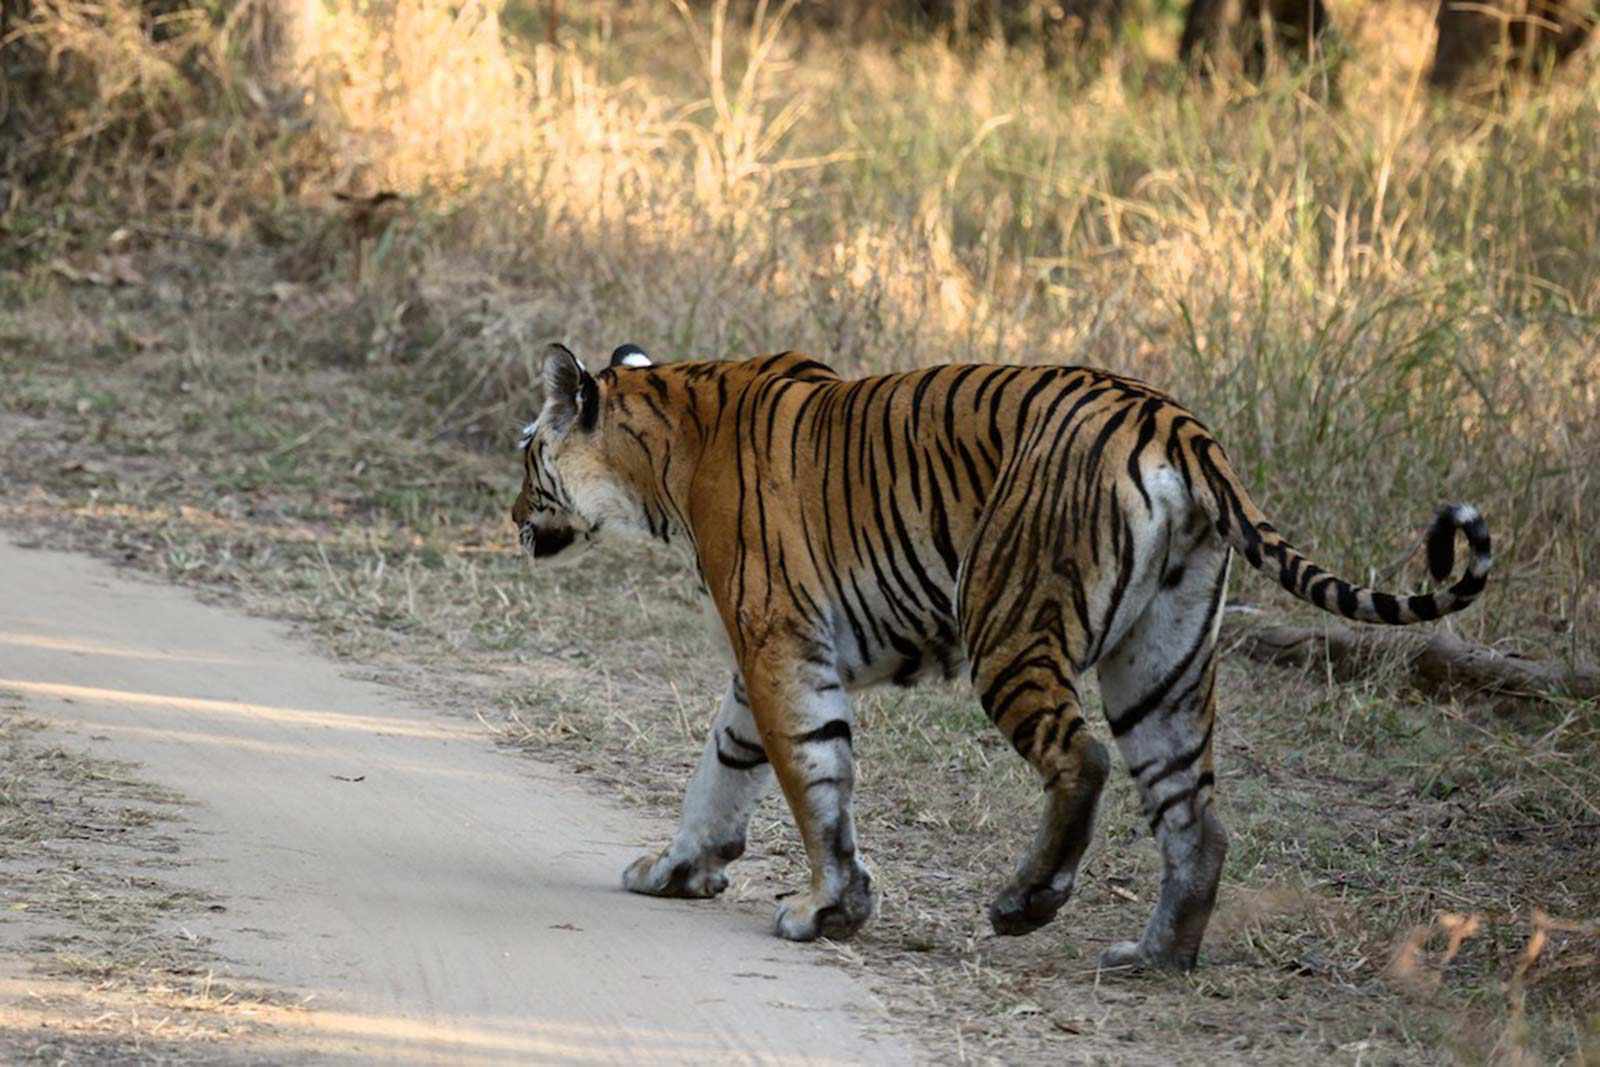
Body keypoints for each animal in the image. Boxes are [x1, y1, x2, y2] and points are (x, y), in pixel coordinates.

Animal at [511, 342, 1491, 971]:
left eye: (527, 457)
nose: (510, 516)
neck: (663, 447)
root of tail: (1173, 420)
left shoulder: (778, 639)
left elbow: (809, 777)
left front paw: (829, 908)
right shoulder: (768, 655)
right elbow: (727, 764)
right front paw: (679, 869)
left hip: (1009, 620)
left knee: (1082, 757)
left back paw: (1027, 902)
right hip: (1161, 664)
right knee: (1195, 816)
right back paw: (1152, 955)